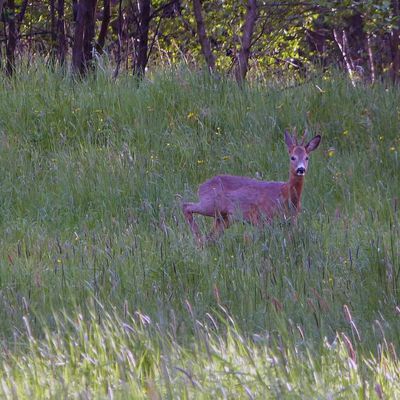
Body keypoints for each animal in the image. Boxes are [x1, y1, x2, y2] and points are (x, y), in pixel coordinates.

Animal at [182, 131, 322, 244]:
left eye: (307, 157)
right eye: (292, 157)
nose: (301, 169)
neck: (286, 195)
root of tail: (201, 187)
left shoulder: (292, 221)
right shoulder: (263, 218)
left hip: (224, 218)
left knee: (210, 236)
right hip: (211, 204)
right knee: (186, 206)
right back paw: (197, 236)